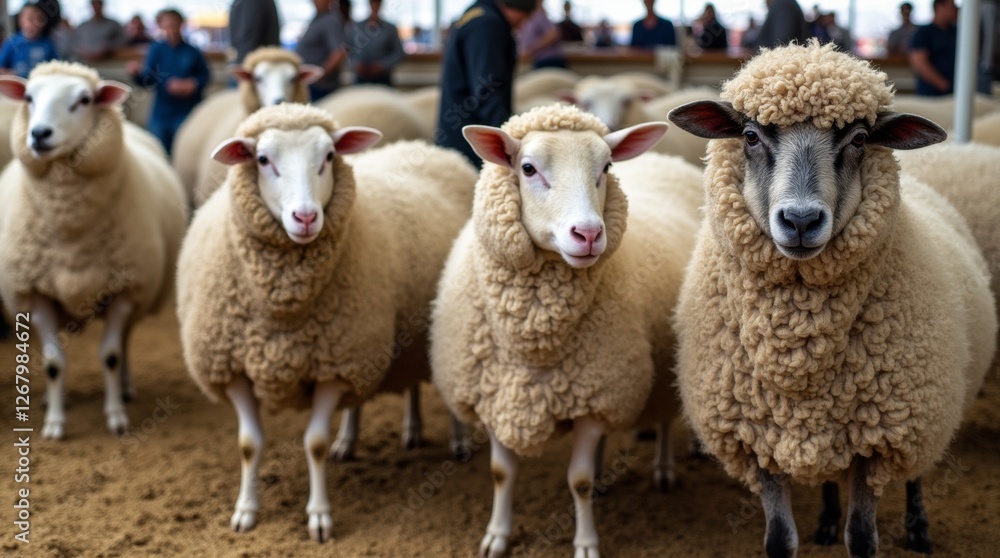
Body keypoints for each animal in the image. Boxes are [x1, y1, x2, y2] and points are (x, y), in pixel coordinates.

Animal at [0, 61, 188, 439]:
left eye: (84, 100)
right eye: (28, 97)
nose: (39, 134)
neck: (72, 233)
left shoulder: (125, 291)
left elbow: (111, 356)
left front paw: (116, 417)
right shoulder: (35, 294)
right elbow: (54, 363)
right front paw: (54, 423)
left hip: (139, 296)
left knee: (126, 341)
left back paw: (127, 388)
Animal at [176, 103, 479, 542]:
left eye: (330, 156)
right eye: (262, 159)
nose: (305, 217)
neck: (283, 308)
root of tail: (428, 148)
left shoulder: (334, 368)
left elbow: (313, 443)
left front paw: (319, 516)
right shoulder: (234, 367)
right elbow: (249, 444)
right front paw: (245, 511)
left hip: (435, 329)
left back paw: (458, 442)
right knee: (396, 388)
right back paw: (376, 436)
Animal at [430, 104, 701, 557]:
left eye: (606, 167)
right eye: (527, 168)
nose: (588, 233)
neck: (537, 338)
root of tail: (666, 161)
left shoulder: (594, 398)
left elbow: (579, 481)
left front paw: (586, 542)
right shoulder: (496, 395)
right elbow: (501, 472)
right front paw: (497, 535)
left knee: (664, 420)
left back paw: (664, 469)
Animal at [668, 41, 996, 558]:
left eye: (859, 139)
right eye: (750, 135)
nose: (801, 220)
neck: (801, 352)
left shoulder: (881, 439)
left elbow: (861, 538)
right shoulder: (755, 441)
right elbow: (779, 541)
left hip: (928, 412)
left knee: (918, 471)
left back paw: (918, 527)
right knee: (825, 477)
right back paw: (824, 520)